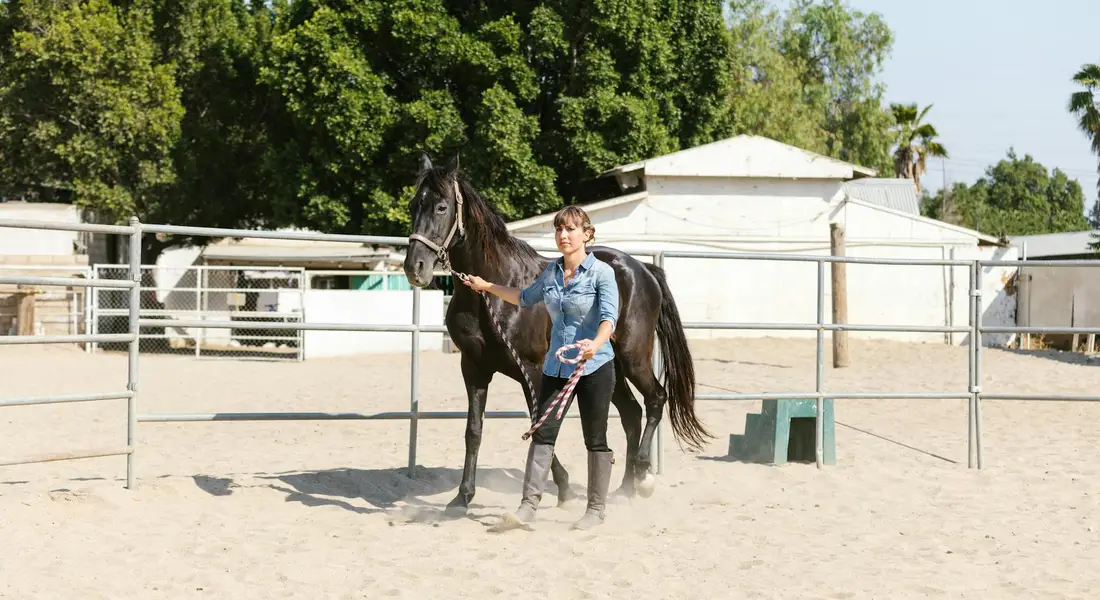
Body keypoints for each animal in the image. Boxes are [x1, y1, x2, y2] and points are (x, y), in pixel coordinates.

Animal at [402, 153, 711, 516]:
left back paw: (643, 478)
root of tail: (643, 269)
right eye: (414, 205)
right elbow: (474, 430)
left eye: (441, 207)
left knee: (655, 399)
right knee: (631, 413)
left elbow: (541, 424)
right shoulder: (474, 369)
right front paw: (462, 498)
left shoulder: (532, 370)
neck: (494, 293)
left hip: (633, 357)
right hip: (609, 367)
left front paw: (561, 487)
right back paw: (623, 488)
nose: (415, 268)